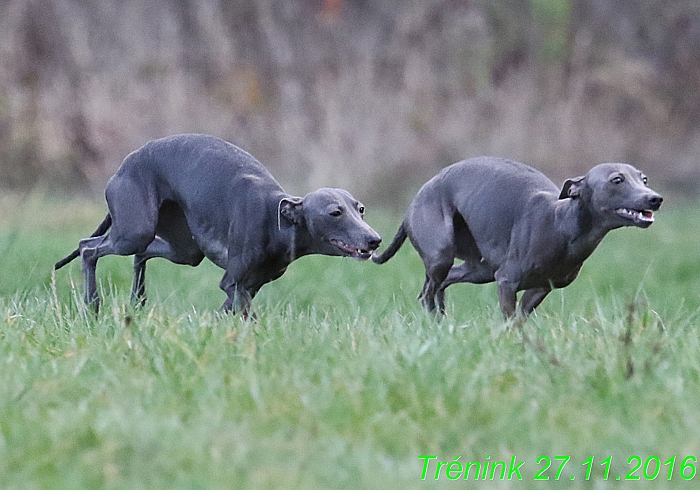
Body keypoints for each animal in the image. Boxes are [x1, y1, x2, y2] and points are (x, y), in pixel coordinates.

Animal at [54, 134, 382, 318]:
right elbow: (246, 313)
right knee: (88, 248)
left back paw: (138, 300)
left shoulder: (249, 285)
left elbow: (229, 312)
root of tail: (125, 164)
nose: (375, 240)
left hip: (184, 248)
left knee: (142, 254)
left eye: (360, 209)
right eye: (335, 212)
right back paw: (92, 305)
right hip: (135, 230)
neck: (277, 222)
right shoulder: (234, 283)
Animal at [372, 156, 660, 318]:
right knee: (427, 294)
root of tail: (416, 199)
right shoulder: (507, 281)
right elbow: (510, 321)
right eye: (617, 179)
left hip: (479, 269)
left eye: (644, 178)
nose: (655, 198)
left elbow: (521, 319)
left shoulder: (540, 288)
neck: (562, 225)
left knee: (442, 284)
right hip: (441, 253)